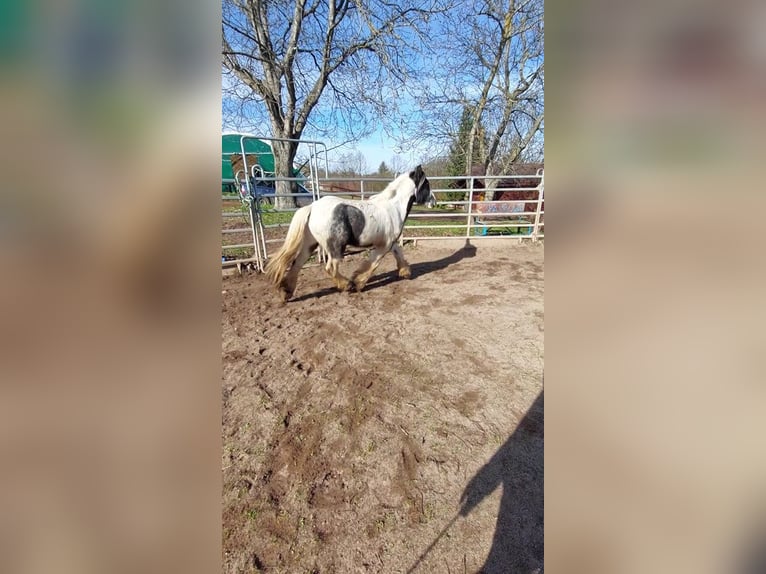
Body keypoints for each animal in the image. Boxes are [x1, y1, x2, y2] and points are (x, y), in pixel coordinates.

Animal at [264, 165, 432, 304]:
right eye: (427, 185)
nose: (433, 201)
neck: (393, 208)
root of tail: (312, 207)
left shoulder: (391, 242)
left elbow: (399, 253)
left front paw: (405, 272)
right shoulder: (384, 245)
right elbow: (374, 263)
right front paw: (358, 283)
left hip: (309, 244)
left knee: (296, 264)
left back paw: (286, 292)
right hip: (335, 248)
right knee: (330, 267)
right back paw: (347, 285)